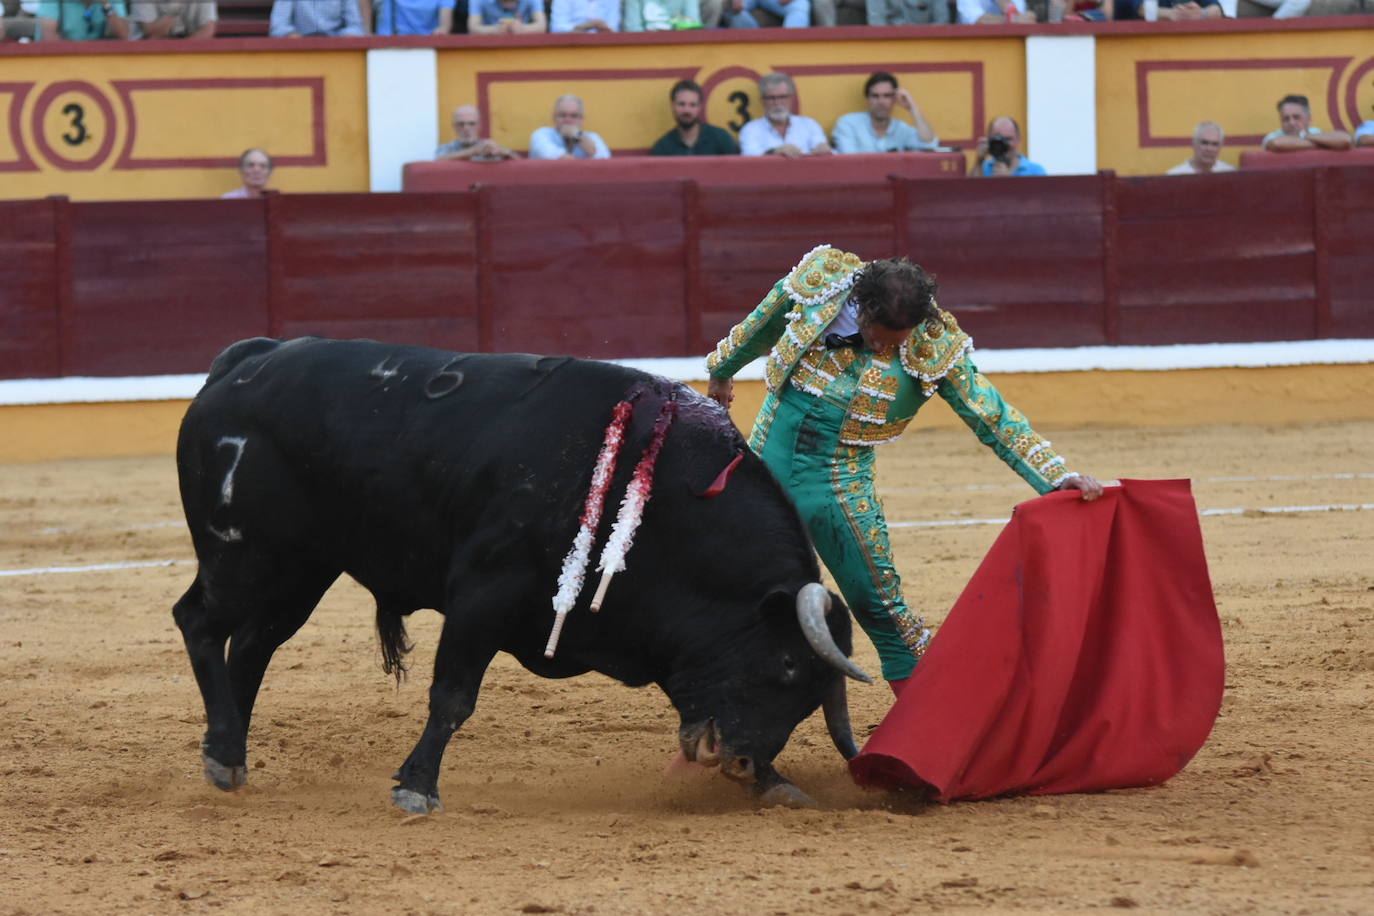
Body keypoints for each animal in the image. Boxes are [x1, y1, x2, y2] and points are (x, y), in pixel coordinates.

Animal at [174, 336, 868, 807]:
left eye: (812, 692)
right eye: (784, 665)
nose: (744, 766)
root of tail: (244, 362)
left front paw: (780, 785)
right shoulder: (483, 594)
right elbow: (453, 696)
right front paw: (417, 787)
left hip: (301, 569)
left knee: (253, 647)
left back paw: (226, 756)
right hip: (241, 554)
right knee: (201, 622)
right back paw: (224, 748)